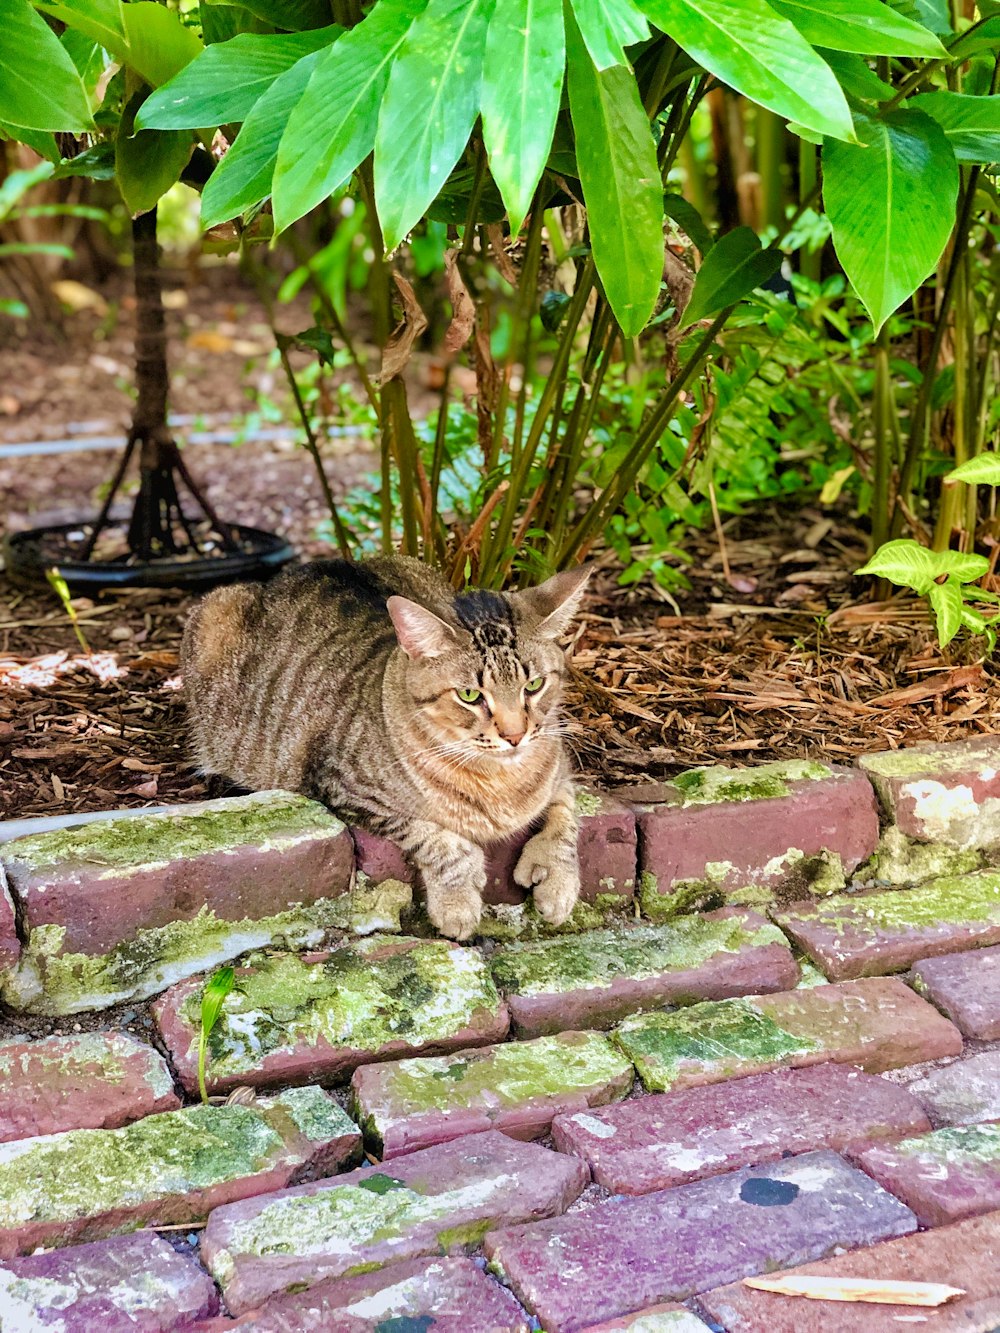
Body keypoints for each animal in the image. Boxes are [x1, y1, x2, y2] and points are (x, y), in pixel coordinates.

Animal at [182, 551, 586, 938]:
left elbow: (567, 819)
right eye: (470, 695)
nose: (515, 735)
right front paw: (456, 902)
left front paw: (558, 881)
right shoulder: (344, 789)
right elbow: (439, 840)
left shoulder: (561, 766)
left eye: (534, 685)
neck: (500, 782)